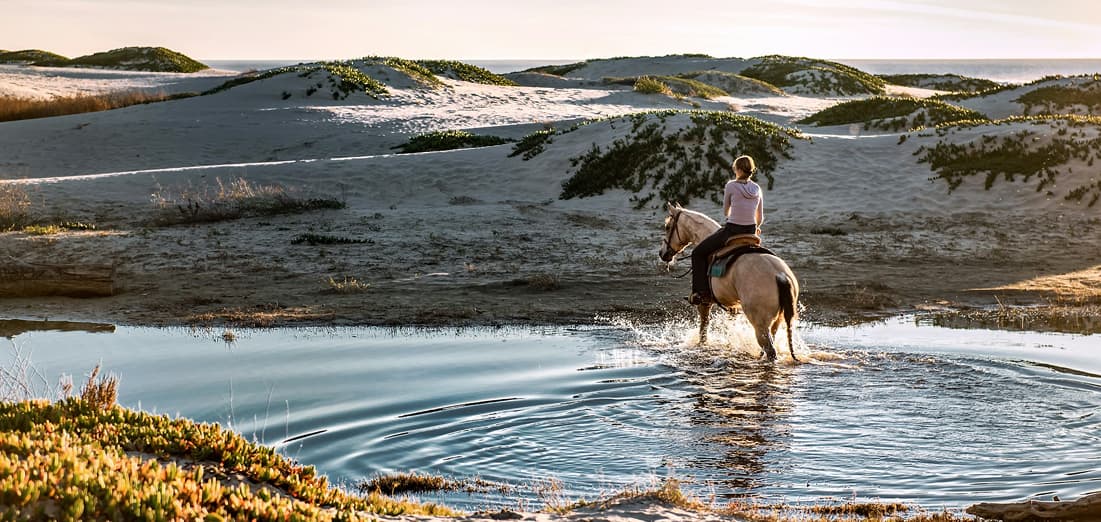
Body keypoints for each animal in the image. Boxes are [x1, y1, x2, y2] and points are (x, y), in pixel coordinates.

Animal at [658, 202, 800, 361]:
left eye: (667, 227)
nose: (662, 254)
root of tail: (780, 275)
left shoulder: (704, 303)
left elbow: (703, 330)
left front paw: (701, 347)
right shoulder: (732, 306)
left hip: (760, 325)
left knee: (770, 351)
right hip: (777, 321)